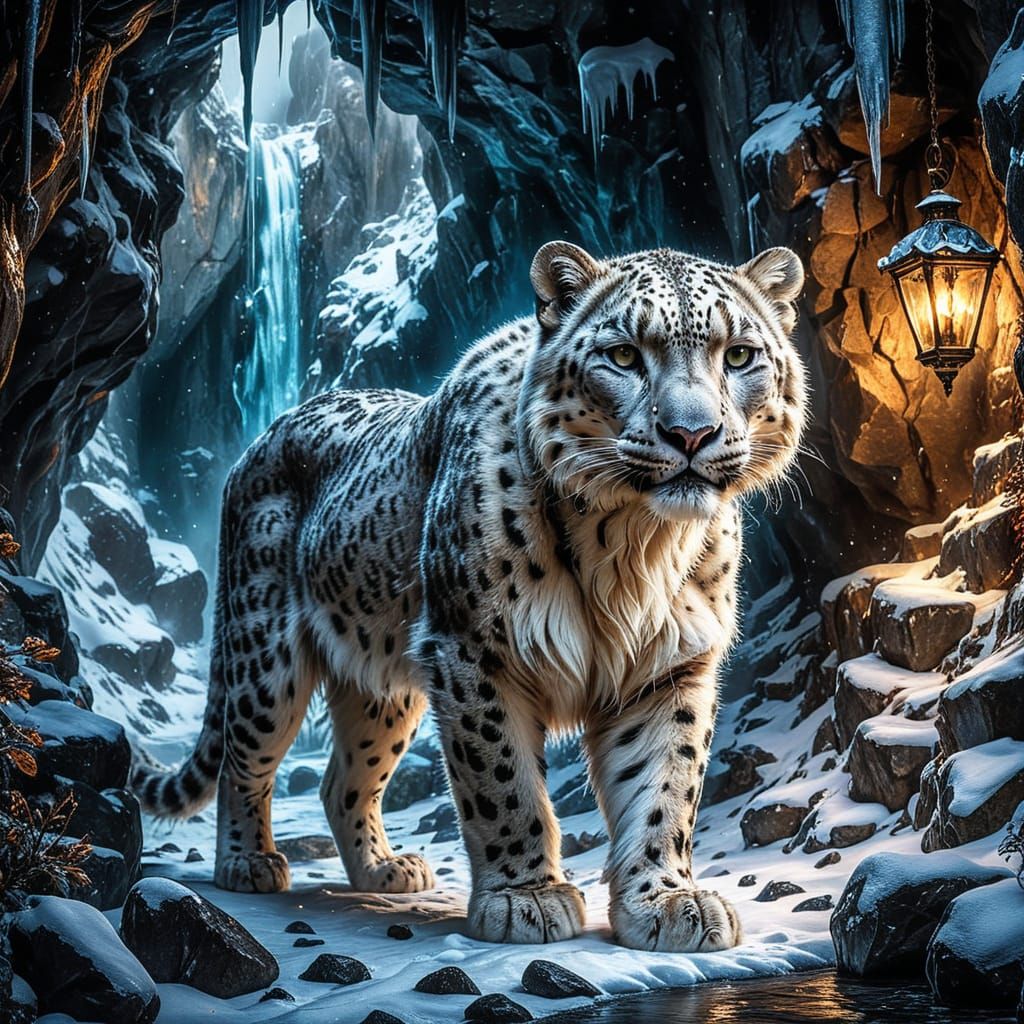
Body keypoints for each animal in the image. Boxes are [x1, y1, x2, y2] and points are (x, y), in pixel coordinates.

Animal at [132, 240, 807, 953]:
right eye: (624, 356)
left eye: (740, 355)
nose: (691, 433)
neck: (635, 550)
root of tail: (262, 435)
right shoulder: (474, 650)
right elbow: (503, 779)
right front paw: (524, 900)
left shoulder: (671, 666)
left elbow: (664, 786)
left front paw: (668, 901)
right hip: (264, 656)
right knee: (243, 758)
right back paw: (248, 862)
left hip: (383, 688)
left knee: (344, 778)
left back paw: (384, 870)